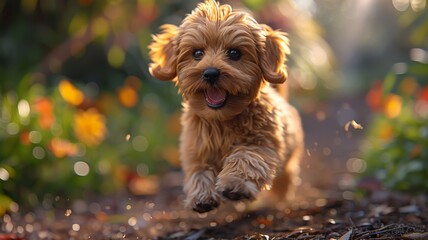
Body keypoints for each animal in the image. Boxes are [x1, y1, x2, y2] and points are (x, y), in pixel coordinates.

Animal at [149, 0, 302, 214]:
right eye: (197, 53)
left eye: (234, 53)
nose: (211, 73)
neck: (221, 119)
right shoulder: (196, 150)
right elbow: (199, 172)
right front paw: (202, 196)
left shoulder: (262, 144)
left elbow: (246, 158)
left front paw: (235, 184)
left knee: (285, 178)